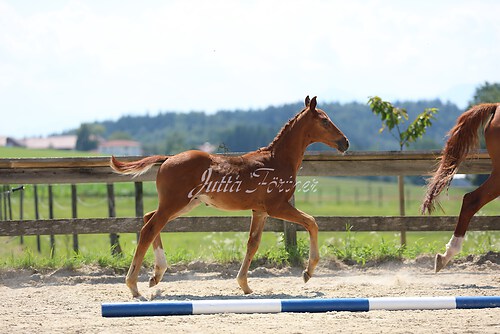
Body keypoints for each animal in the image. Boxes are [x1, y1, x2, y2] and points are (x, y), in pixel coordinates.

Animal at [111, 96, 350, 298]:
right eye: (325, 121)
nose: (345, 142)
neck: (277, 160)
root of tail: (168, 158)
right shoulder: (277, 207)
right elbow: (311, 222)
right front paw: (308, 272)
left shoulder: (260, 211)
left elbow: (253, 243)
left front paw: (245, 285)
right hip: (175, 203)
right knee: (149, 229)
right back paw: (134, 286)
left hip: (184, 204)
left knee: (149, 218)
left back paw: (156, 275)